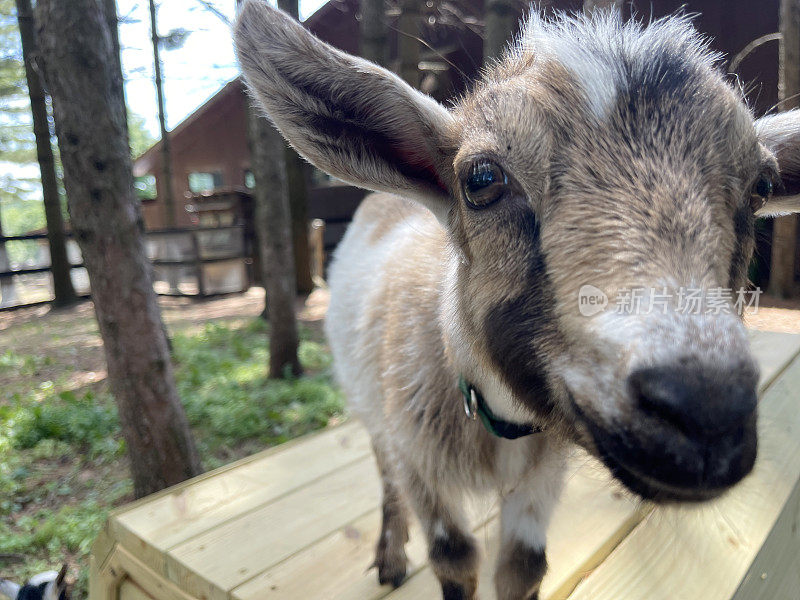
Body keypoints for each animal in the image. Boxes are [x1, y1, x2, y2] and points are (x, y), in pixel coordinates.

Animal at [234, 4, 800, 600]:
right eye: (481, 179)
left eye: (762, 186)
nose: (708, 410)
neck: (497, 420)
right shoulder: (419, 461)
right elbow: (454, 557)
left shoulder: (541, 477)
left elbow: (524, 566)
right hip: (368, 401)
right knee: (383, 471)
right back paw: (389, 556)